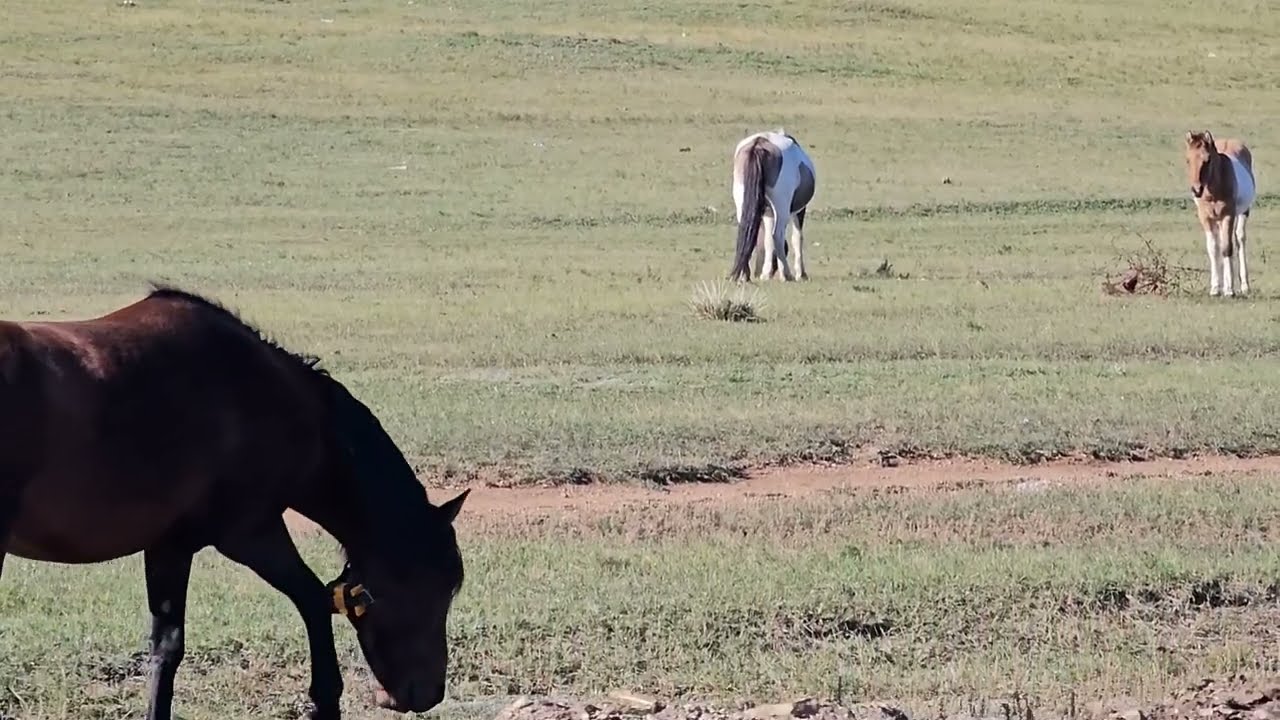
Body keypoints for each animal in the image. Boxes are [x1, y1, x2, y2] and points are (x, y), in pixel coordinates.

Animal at [0, 285, 469, 720]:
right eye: (436, 587)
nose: (429, 694)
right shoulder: (249, 533)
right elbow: (313, 601)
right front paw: (324, 699)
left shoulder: (168, 546)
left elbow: (164, 646)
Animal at [728, 128, 817, 282]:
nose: (757, 273)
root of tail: (758, 144)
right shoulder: (798, 212)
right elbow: (796, 238)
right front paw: (801, 274)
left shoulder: (768, 213)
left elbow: (768, 240)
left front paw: (766, 273)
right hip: (781, 208)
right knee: (778, 236)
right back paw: (786, 274)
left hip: (742, 203)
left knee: (745, 231)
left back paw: (744, 275)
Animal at [1184, 130, 1257, 297]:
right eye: (1188, 160)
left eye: (1208, 159)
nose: (1196, 190)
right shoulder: (1206, 218)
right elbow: (1213, 249)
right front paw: (1215, 288)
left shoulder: (1228, 216)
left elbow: (1227, 248)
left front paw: (1229, 289)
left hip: (1243, 212)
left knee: (1239, 239)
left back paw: (1244, 286)